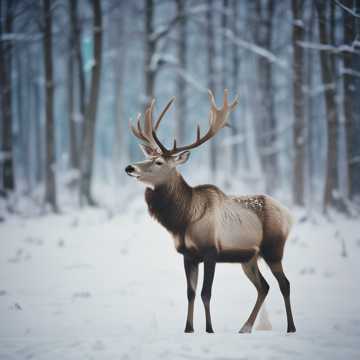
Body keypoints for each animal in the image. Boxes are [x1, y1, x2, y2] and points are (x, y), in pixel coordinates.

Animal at [125, 90, 296, 334]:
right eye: (147, 157)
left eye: (158, 162)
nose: (130, 168)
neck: (183, 219)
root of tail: (289, 214)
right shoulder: (188, 254)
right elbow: (190, 293)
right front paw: (188, 329)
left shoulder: (210, 251)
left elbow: (206, 293)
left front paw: (209, 329)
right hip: (249, 258)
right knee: (263, 286)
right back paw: (245, 327)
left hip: (273, 248)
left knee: (284, 283)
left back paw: (291, 328)